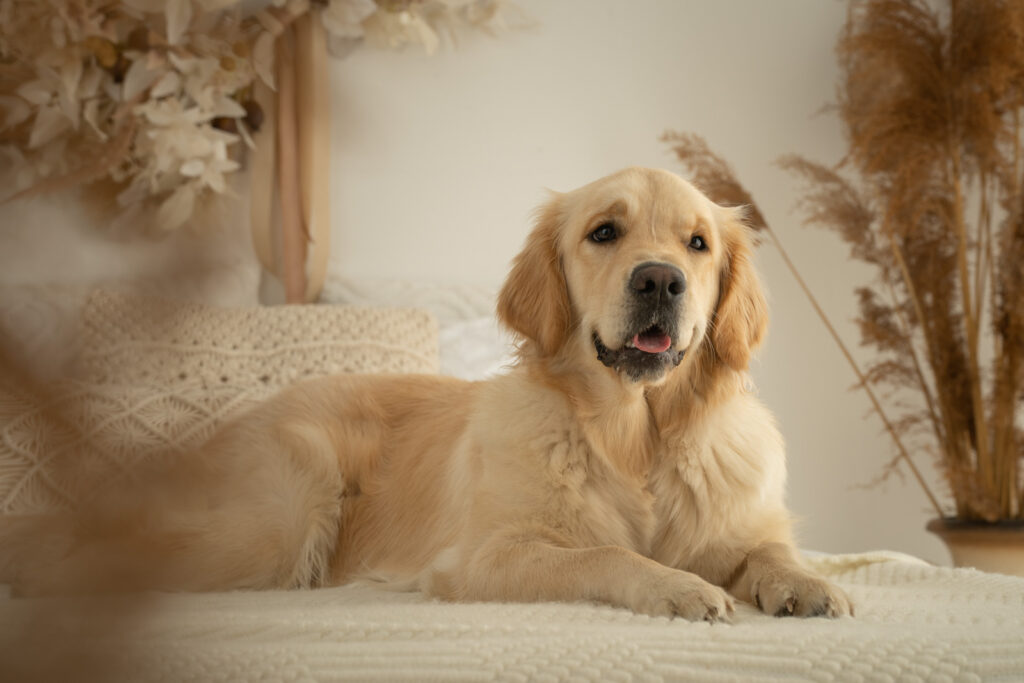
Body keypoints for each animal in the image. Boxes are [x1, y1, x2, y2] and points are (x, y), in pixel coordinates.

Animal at [2, 165, 847, 618]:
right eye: (604, 232)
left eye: (697, 243)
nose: (660, 281)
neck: (633, 439)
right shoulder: (488, 557)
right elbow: (605, 552)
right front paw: (676, 586)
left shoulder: (742, 525)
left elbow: (770, 551)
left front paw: (807, 583)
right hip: (276, 522)